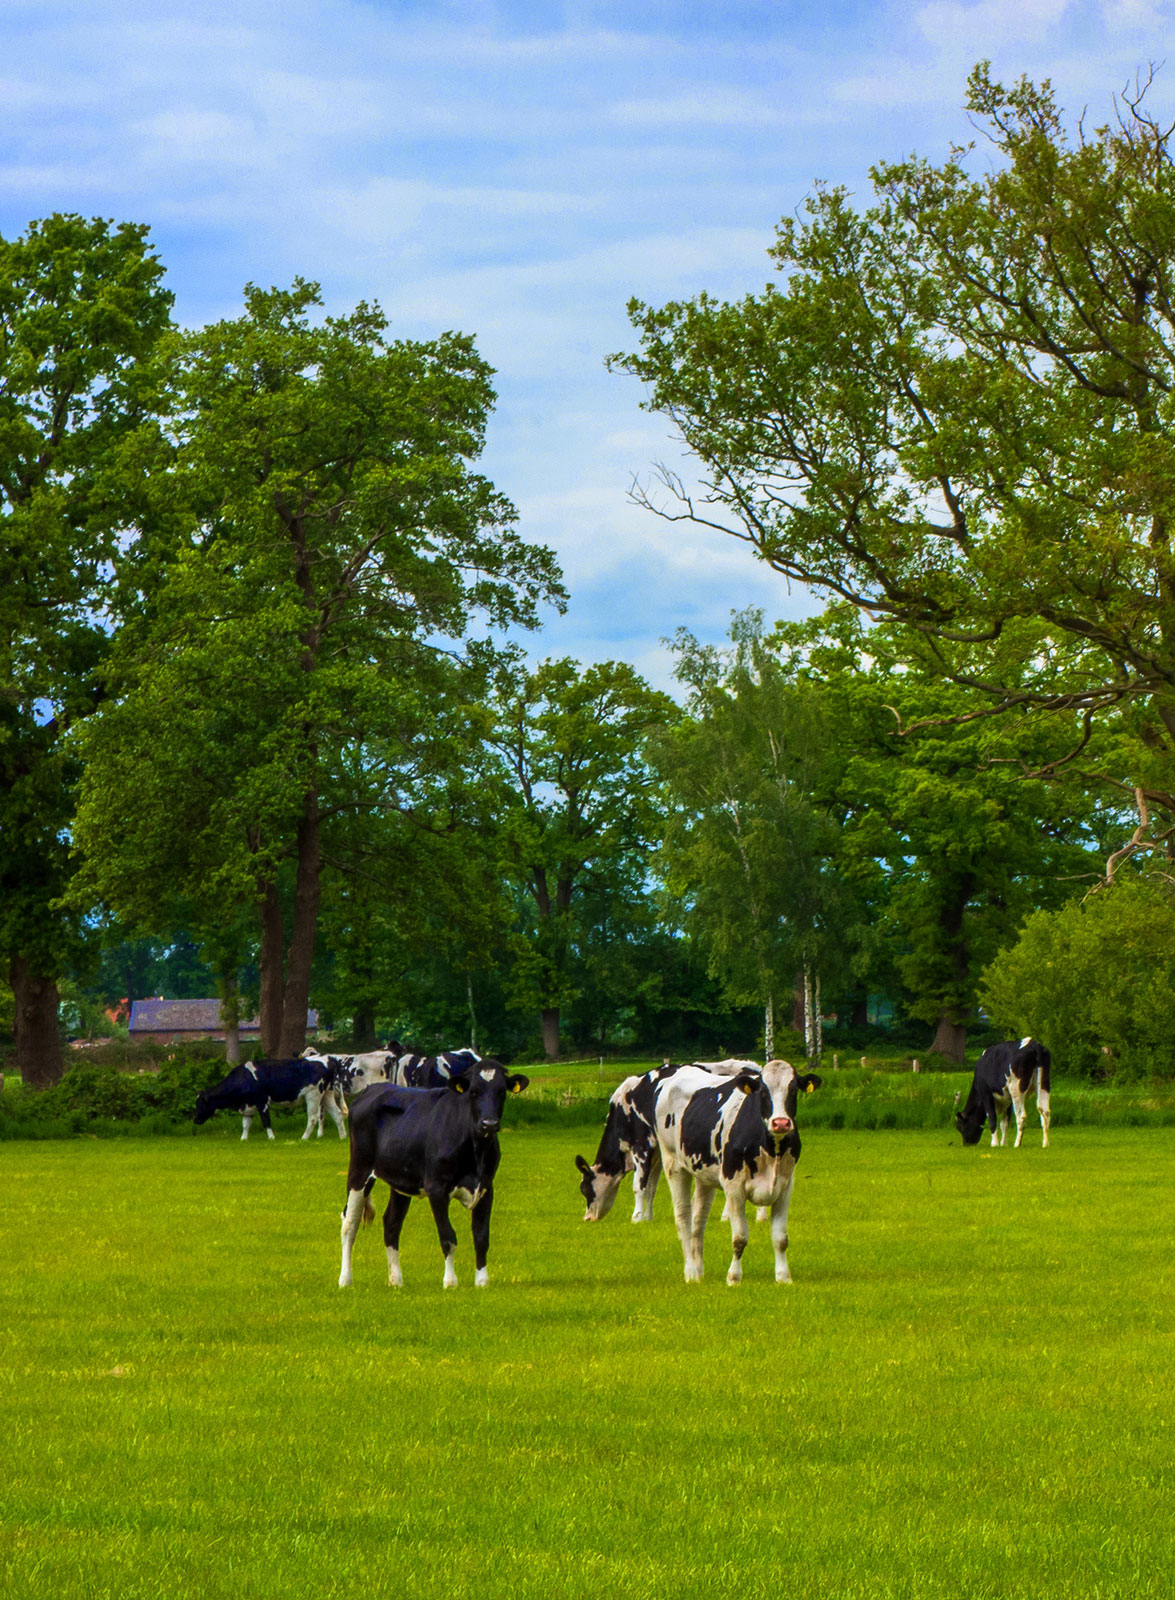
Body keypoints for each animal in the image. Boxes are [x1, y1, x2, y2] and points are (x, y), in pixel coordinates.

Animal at [193, 1056, 345, 1145]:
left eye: (201, 1104)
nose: (195, 1120)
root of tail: (329, 1060)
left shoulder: (262, 1102)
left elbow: (266, 1121)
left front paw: (271, 1138)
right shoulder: (248, 1106)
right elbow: (246, 1124)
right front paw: (243, 1139)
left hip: (313, 1095)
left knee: (313, 1118)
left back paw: (304, 1138)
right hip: (327, 1094)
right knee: (337, 1114)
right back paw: (342, 1136)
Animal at [336, 1056, 528, 1292]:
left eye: (502, 1091)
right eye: (473, 1091)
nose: (489, 1123)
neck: (475, 1150)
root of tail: (373, 1088)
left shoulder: (486, 1187)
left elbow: (481, 1237)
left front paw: (482, 1280)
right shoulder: (436, 1188)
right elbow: (448, 1236)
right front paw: (450, 1281)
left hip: (400, 1180)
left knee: (391, 1224)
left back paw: (396, 1279)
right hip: (359, 1169)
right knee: (349, 1223)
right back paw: (345, 1279)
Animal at [649, 1062, 826, 1286]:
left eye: (793, 1089)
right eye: (763, 1091)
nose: (781, 1123)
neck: (770, 1149)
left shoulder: (785, 1187)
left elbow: (781, 1238)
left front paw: (783, 1277)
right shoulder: (734, 1188)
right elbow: (740, 1237)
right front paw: (734, 1277)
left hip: (703, 1175)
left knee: (698, 1221)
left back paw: (699, 1270)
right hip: (674, 1164)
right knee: (683, 1219)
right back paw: (690, 1272)